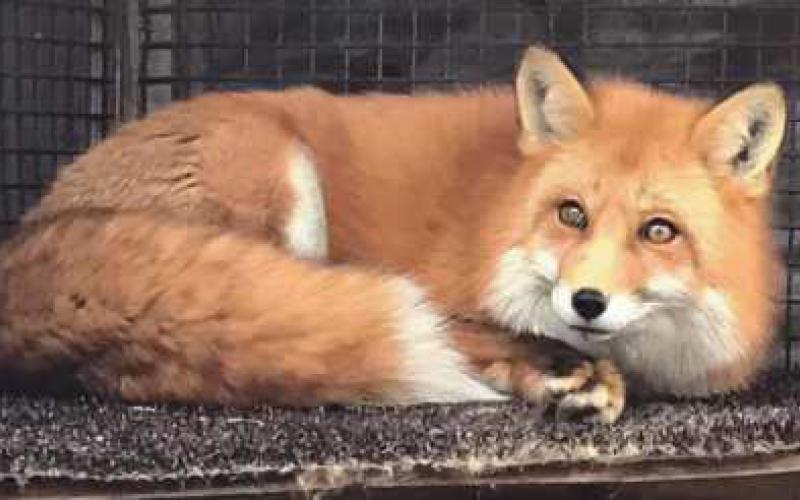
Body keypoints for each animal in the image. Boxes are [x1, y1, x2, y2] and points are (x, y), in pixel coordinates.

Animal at [0, 46, 787, 423]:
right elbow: (478, 331)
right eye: (572, 214)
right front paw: (556, 367)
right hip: (278, 178)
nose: (586, 302)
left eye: (659, 231)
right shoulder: (443, 293)